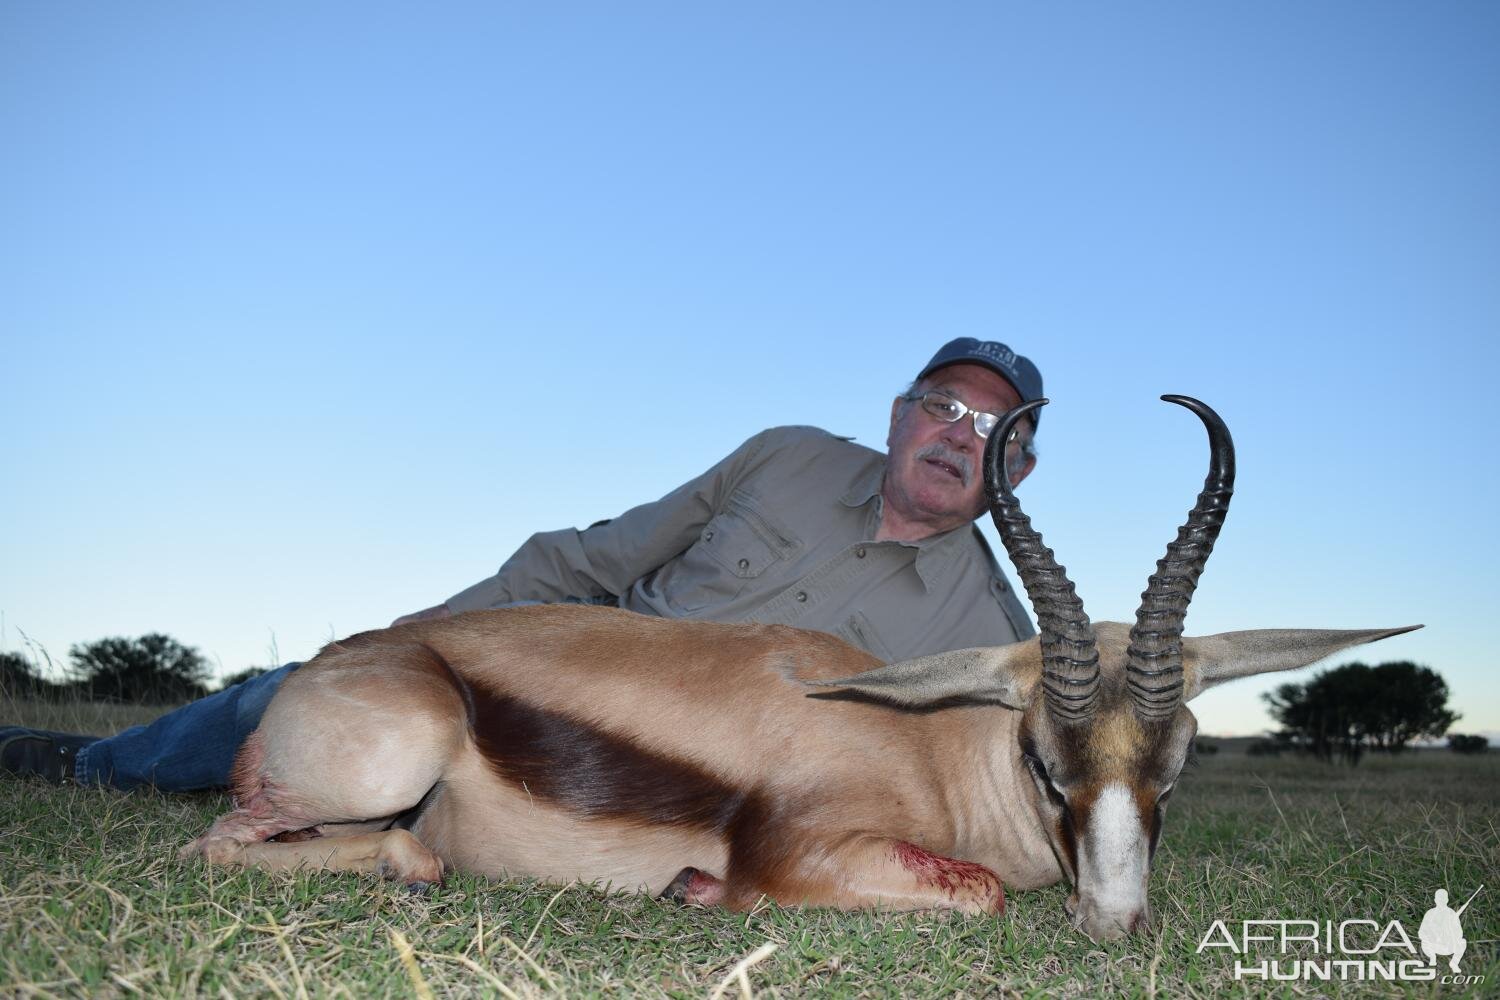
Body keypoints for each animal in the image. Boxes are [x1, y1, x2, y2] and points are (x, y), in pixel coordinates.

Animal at [181, 395, 1410, 941]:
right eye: (1041, 758)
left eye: (1179, 764)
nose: (1115, 922)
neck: (927, 745)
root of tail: (351, 659)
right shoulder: (809, 851)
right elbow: (969, 890)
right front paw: (698, 886)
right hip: (392, 763)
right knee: (228, 845)